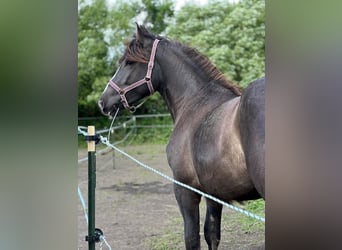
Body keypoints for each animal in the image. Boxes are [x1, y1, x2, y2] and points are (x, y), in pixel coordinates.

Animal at [99, 24, 264, 250]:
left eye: (129, 62)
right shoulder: (214, 193)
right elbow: (212, 234)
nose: (102, 101)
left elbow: (192, 238)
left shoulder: (185, 190)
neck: (195, 103)